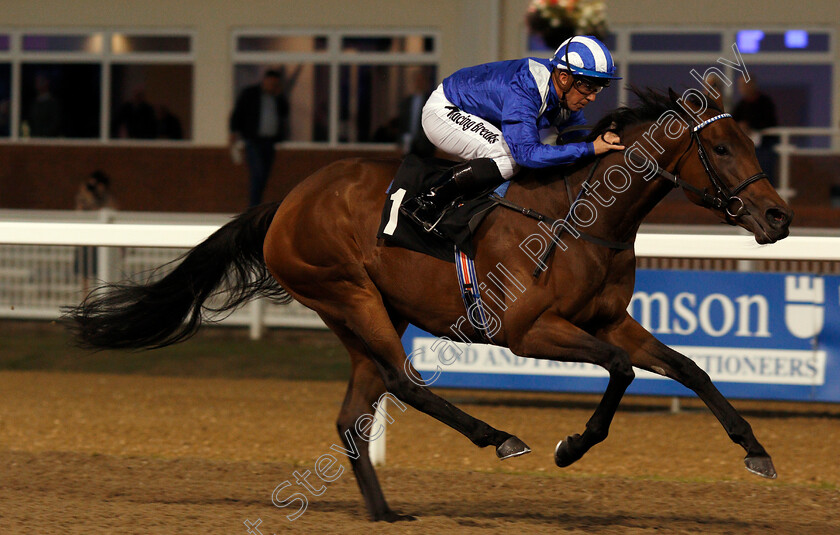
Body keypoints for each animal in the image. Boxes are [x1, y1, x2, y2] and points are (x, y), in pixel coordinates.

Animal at [67, 89, 796, 524]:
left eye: (753, 143)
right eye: (722, 147)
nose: (778, 216)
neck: (582, 215)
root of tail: (287, 201)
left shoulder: (607, 318)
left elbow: (688, 367)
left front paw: (757, 451)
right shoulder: (528, 329)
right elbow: (620, 369)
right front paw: (571, 446)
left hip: (371, 309)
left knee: (355, 410)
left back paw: (385, 512)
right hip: (348, 292)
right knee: (403, 380)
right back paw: (498, 437)